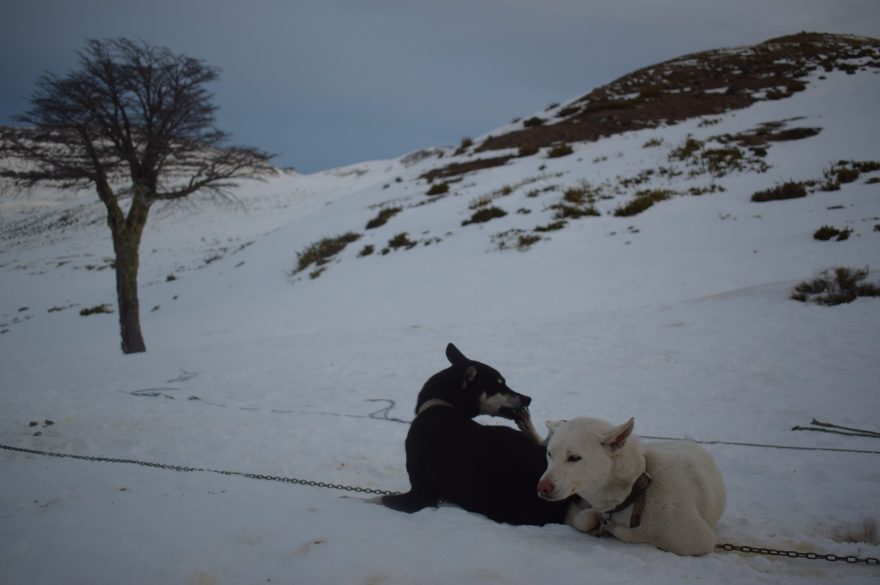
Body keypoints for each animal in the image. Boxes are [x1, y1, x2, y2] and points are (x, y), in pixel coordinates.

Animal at [540, 416, 724, 552]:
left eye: (574, 458)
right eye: (549, 454)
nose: (542, 487)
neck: (636, 492)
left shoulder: (699, 539)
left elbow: (626, 532)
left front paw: (608, 527)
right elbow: (586, 519)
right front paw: (580, 515)